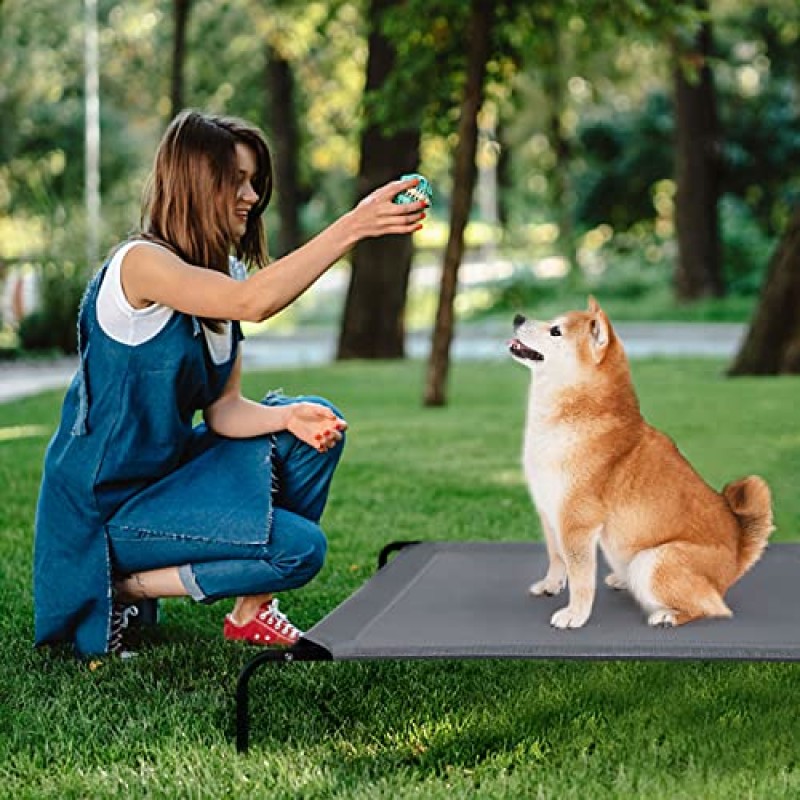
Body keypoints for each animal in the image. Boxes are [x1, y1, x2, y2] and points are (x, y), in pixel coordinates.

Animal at [510, 296, 772, 628]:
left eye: (555, 330)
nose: (518, 317)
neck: (577, 415)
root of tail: (736, 559)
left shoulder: (577, 521)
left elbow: (581, 577)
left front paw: (575, 614)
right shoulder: (549, 510)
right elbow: (557, 557)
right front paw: (550, 585)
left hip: (654, 560)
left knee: (714, 608)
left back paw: (668, 615)